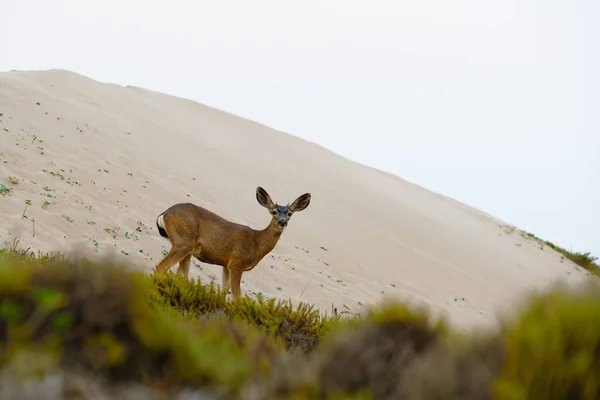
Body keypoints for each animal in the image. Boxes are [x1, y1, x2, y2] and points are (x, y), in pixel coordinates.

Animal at [152, 186, 312, 298]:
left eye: (290, 213)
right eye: (274, 211)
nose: (282, 222)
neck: (257, 243)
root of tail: (164, 214)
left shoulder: (226, 265)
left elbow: (224, 291)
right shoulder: (237, 264)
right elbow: (237, 296)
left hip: (188, 249)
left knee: (181, 275)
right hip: (184, 242)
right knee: (162, 266)